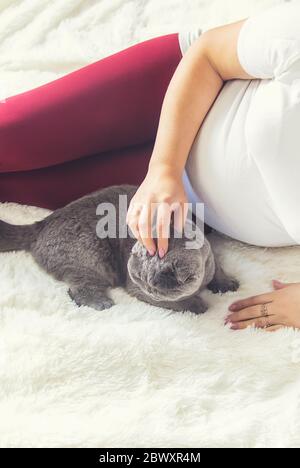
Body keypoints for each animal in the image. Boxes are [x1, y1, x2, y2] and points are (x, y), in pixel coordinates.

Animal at [0, 185, 239, 312]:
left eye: (167, 271)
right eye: (141, 280)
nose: (150, 286)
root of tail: (41, 223)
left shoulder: (210, 255)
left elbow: (217, 267)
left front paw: (226, 282)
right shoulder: (135, 289)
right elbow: (178, 302)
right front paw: (196, 304)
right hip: (90, 259)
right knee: (78, 288)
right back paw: (100, 302)